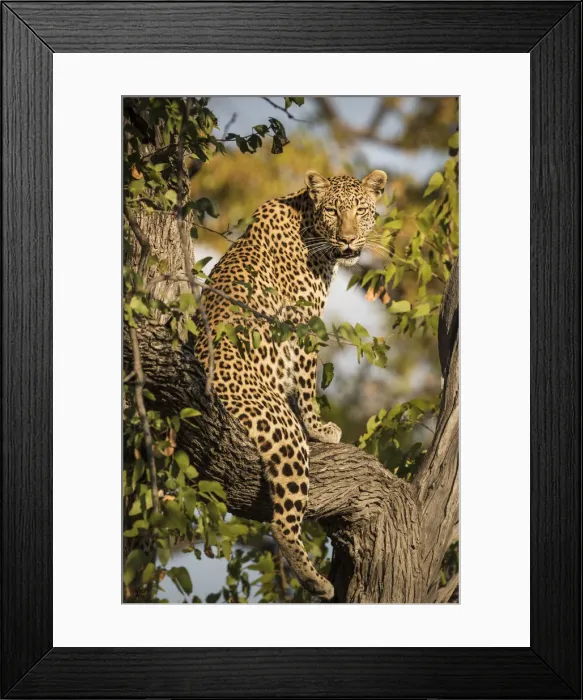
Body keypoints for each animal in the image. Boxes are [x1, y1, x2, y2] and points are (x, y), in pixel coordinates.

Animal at [194, 169, 387, 601]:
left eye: (361, 210)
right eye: (332, 211)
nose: (348, 239)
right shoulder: (301, 322)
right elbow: (306, 382)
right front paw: (320, 429)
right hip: (281, 428)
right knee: (281, 522)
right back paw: (316, 581)